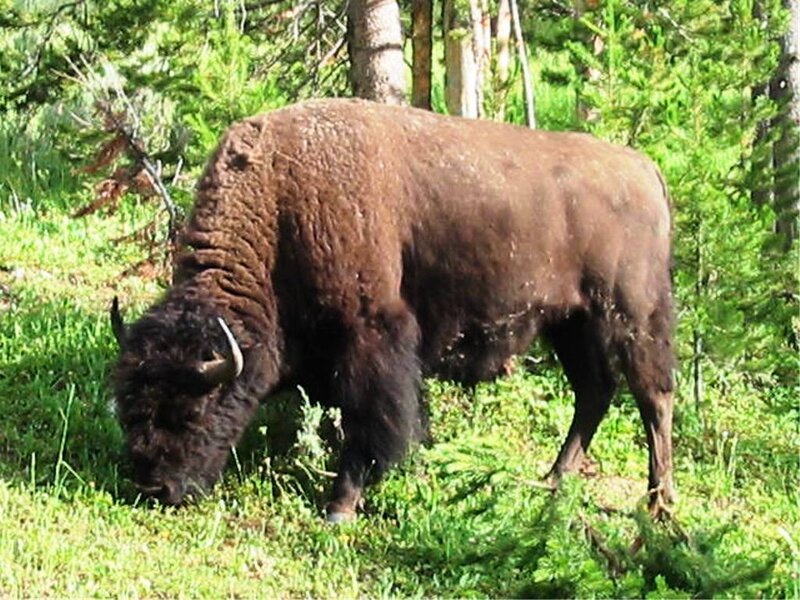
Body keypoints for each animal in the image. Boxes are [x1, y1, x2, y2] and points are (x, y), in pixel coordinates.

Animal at [111, 98, 675, 521]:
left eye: (193, 409)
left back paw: (658, 506)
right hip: (569, 322)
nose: (156, 489)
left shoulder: (373, 335)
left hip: (631, 315)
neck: (281, 201)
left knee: (652, 397)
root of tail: (645, 169)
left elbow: (372, 420)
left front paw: (339, 506)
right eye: (129, 403)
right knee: (595, 391)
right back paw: (553, 480)